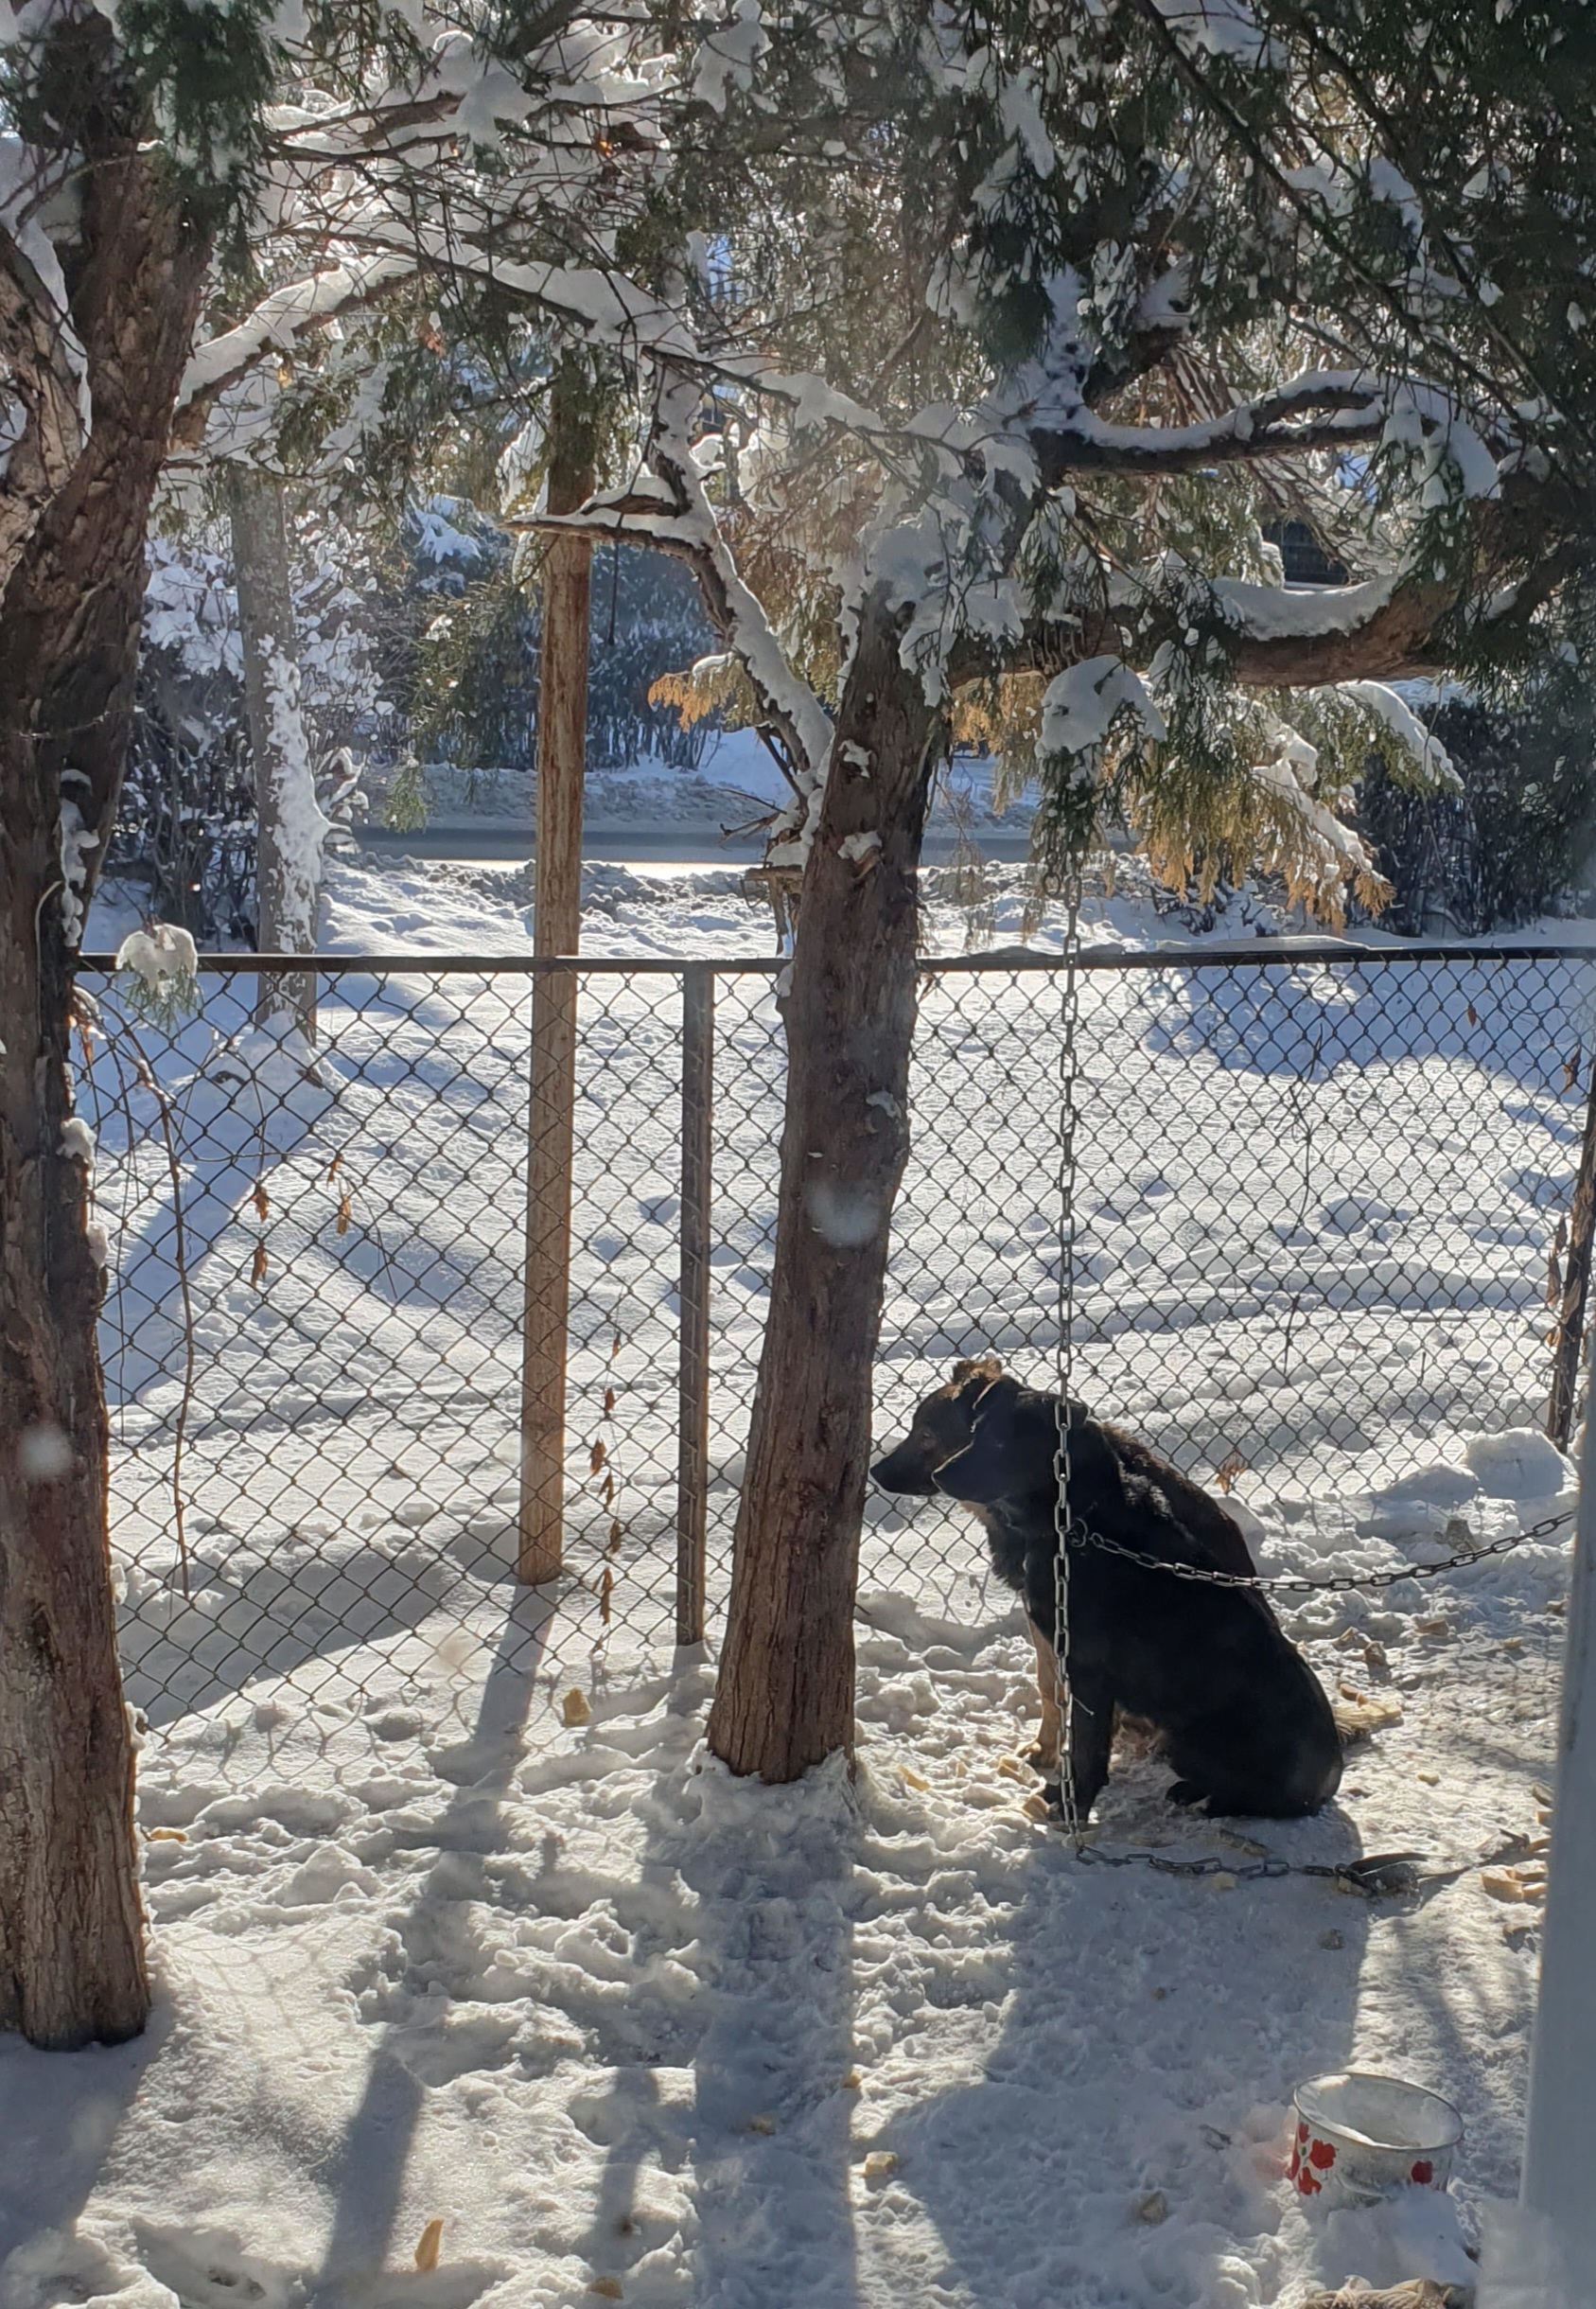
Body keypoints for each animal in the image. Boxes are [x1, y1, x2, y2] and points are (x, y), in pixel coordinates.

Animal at [872, 1348, 1348, 1819]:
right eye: (975, 1434)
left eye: (927, 1436)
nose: (876, 1473)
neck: (1078, 1524)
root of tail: (1327, 1781)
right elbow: (1053, 1694)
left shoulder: (1088, 1670)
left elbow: (1086, 1746)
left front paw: (1070, 1805)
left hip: (1188, 1740)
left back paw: (1206, 1800)